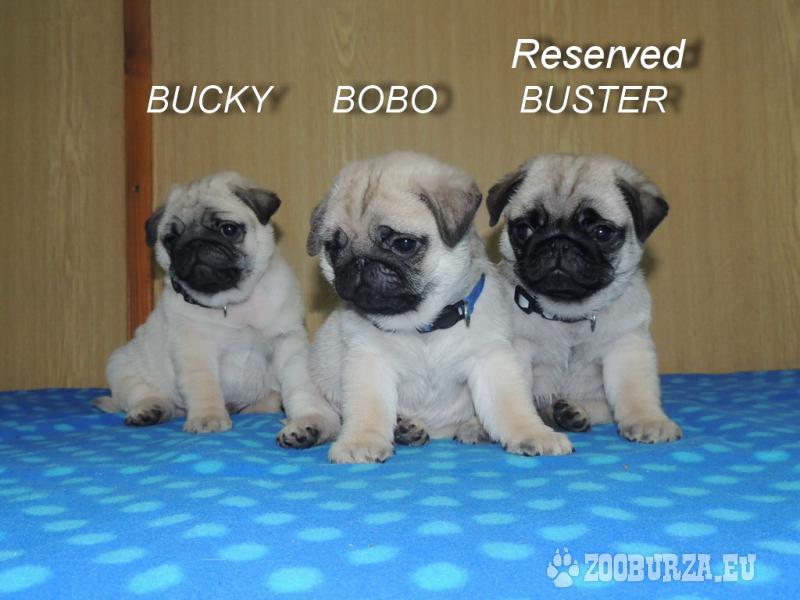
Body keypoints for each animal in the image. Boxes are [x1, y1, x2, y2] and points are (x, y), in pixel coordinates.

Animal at [94, 171, 340, 444]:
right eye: (171, 239)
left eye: (228, 229)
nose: (194, 243)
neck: (230, 303)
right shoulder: (195, 350)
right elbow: (204, 386)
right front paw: (207, 418)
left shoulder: (287, 342)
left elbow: (299, 386)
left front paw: (310, 420)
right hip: (121, 365)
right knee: (142, 393)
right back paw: (150, 410)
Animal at [306, 151, 574, 463]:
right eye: (334, 248)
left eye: (403, 244)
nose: (359, 261)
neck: (424, 326)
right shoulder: (369, 361)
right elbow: (368, 408)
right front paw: (361, 441)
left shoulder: (490, 359)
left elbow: (511, 405)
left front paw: (533, 433)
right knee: (322, 412)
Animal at [487, 154, 682, 443]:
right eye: (524, 229)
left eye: (601, 232)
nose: (558, 242)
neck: (567, 315)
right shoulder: (519, 349)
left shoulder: (626, 347)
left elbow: (635, 390)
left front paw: (648, 420)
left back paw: (567, 413)